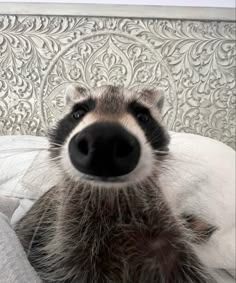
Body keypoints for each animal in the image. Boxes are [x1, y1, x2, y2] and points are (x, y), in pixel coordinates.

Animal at [15, 85, 216, 283]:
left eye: (143, 117)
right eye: (78, 113)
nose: (103, 141)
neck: (112, 197)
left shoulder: (168, 238)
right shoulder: (66, 244)